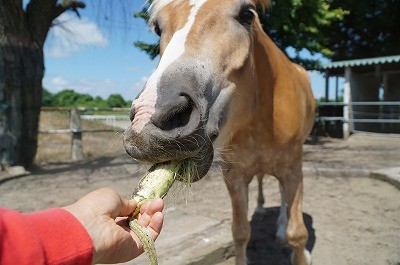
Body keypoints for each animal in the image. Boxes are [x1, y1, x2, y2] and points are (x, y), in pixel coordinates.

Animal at [123, 1, 318, 262]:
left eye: (247, 14)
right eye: (157, 27)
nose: (149, 121)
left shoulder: (293, 169)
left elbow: (297, 234)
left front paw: (299, 252)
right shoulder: (234, 175)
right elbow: (240, 233)